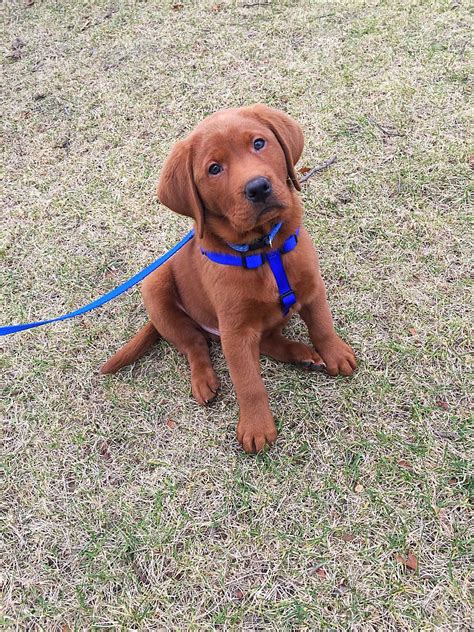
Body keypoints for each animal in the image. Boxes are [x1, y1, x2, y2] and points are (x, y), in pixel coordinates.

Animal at [102, 107, 358, 454]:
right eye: (214, 169)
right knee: (194, 344)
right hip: (155, 289)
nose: (258, 187)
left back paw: (303, 356)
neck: (265, 249)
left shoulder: (312, 288)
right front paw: (256, 427)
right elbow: (248, 381)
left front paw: (335, 355)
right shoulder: (235, 331)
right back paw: (203, 380)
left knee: (268, 341)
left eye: (259, 143)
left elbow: (322, 326)